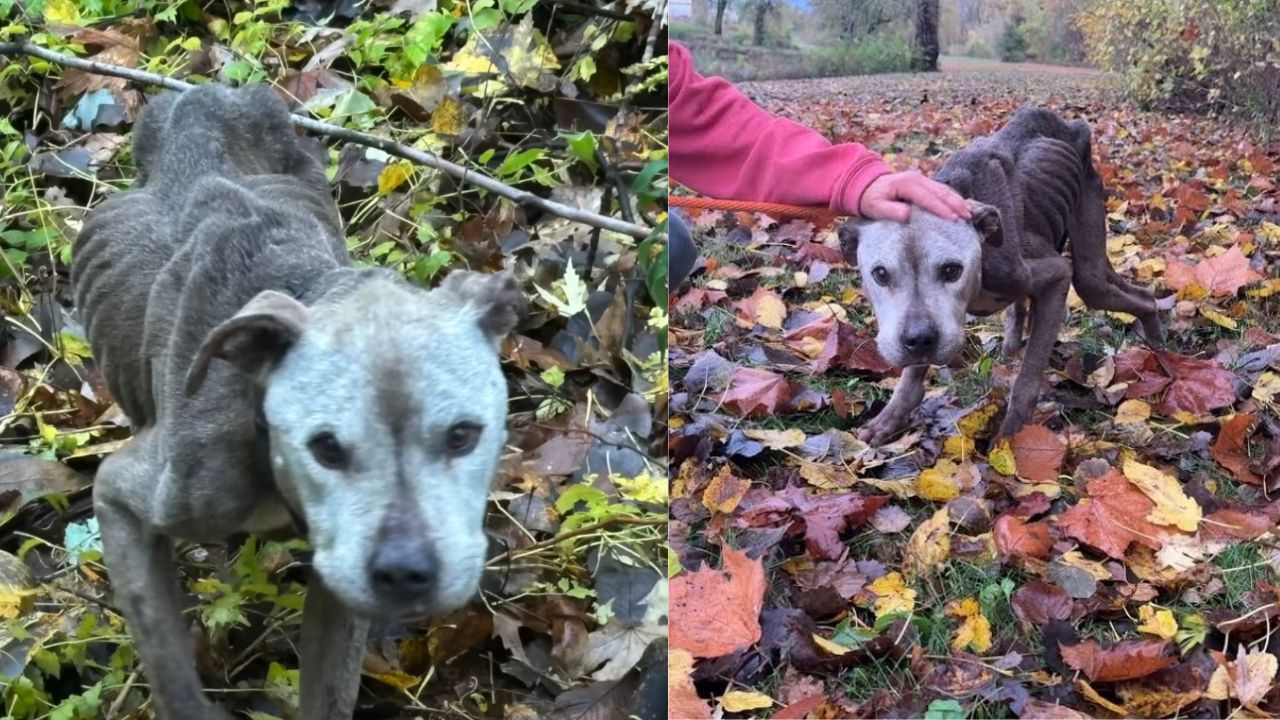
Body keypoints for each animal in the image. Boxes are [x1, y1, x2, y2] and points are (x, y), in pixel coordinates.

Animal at [68, 85, 519, 717]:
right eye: (325, 447)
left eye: (463, 435)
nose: (405, 572)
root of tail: (202, 98)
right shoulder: (126, 499)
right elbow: (168, 666)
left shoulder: (342, 588)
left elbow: (329, 691)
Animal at [839, 106, 1162, 443]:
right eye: (880, 274)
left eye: (952, 270)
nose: (919, 340)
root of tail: (1072, 126)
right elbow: (913, 374)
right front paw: (891, 416)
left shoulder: (1055, 276)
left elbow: (1028, 375)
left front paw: (1012, 437)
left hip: (1089, 264)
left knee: (1135, 296)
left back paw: (1157, 345)